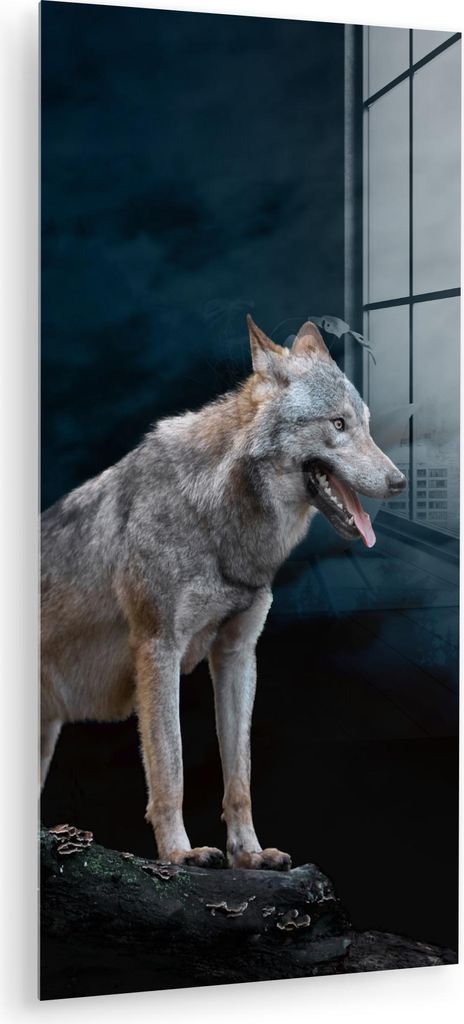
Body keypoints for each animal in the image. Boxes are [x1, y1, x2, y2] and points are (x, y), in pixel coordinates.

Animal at [41, 316, 406, 870]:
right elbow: (171, 770)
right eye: (337, 424)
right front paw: (179, 853)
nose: (399, 481)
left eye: (363, 424)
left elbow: (240, 776)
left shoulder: (237, 654)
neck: (216, 521)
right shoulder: (158, 650)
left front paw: (249, 854)